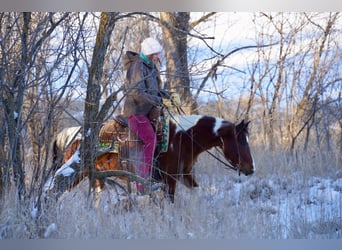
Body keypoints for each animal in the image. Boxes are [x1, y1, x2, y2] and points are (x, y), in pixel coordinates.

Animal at [50, 114, 254, 203]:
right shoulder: (169, 179)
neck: (182, 138)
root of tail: (64, 134)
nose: (250, 169)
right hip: (75, 174)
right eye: (241, 142)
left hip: (97, 177)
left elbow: (198, 193)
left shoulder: (183, 175)